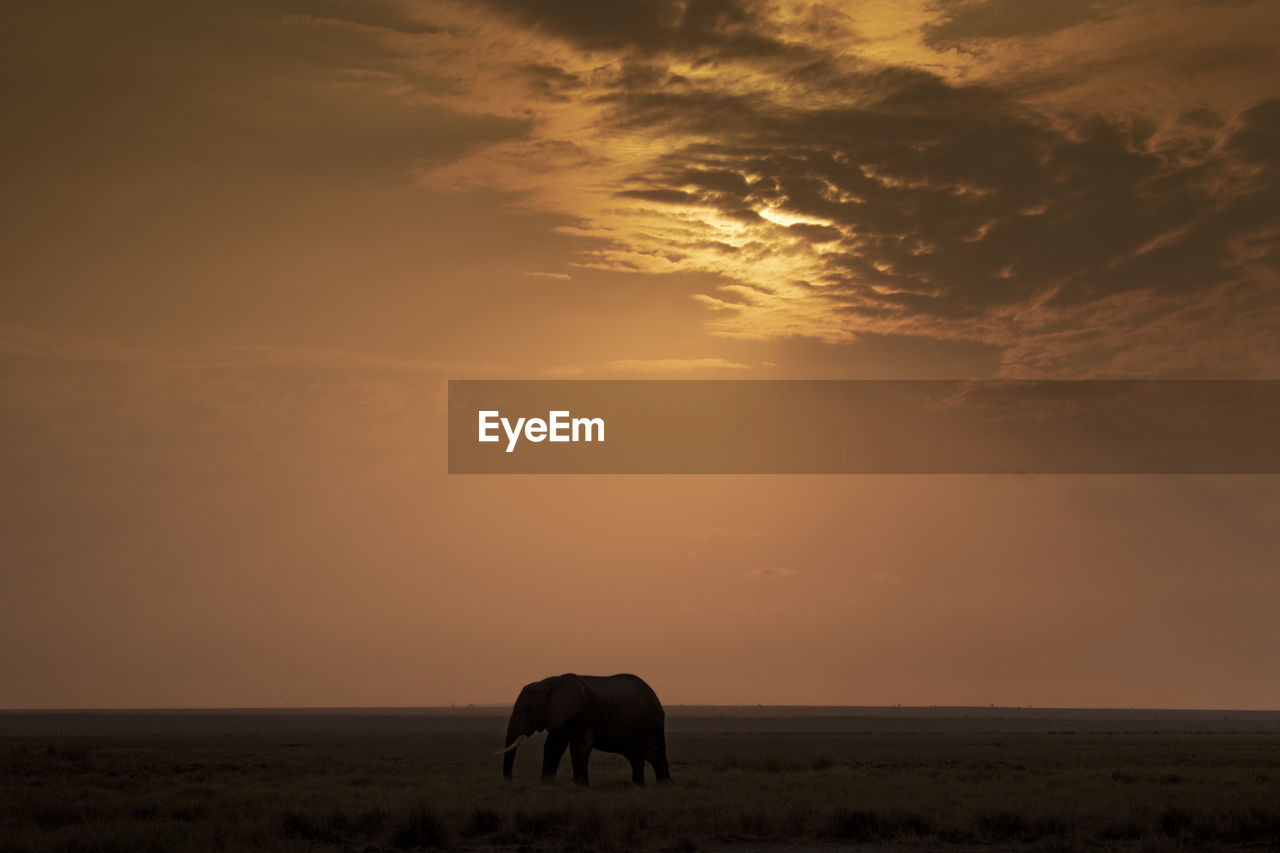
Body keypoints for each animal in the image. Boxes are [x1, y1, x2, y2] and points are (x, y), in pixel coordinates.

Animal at [494, 671, 670, 783]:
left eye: (527, 709)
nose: (509, 780)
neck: (552, 683)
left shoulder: (582, 715)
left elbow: (580, 746)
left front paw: (581, 786)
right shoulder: (560, 716)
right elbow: (553, 747)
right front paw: (546, 783)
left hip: (652, 724)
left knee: (654, 753)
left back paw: (665, 784)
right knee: (636, 757)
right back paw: (640, 785)